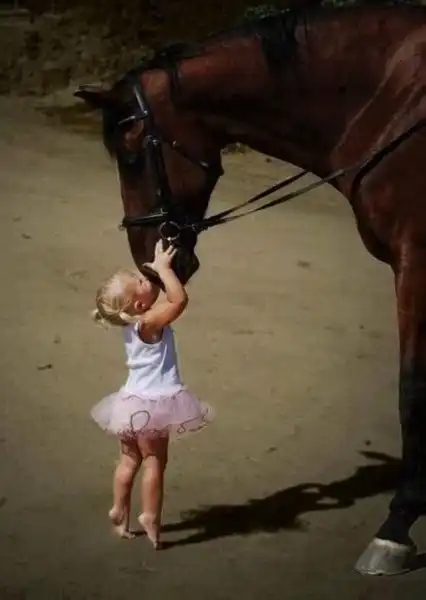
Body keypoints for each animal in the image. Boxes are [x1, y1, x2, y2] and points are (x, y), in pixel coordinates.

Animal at [75, 2, 426, 576]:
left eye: (131, 155)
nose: (148, 263)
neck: (393, 100)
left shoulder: (416, 260)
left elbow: (411, 388)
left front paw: (396, 528)